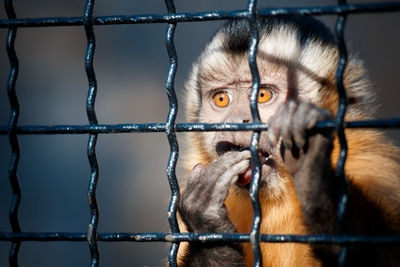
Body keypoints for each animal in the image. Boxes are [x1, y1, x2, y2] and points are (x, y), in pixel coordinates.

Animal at [177, 16, 400, 267]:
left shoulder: (371, 167)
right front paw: (206, 220)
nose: (235, 121)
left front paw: (312, 174)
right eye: (221, 99)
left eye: (262, 94)